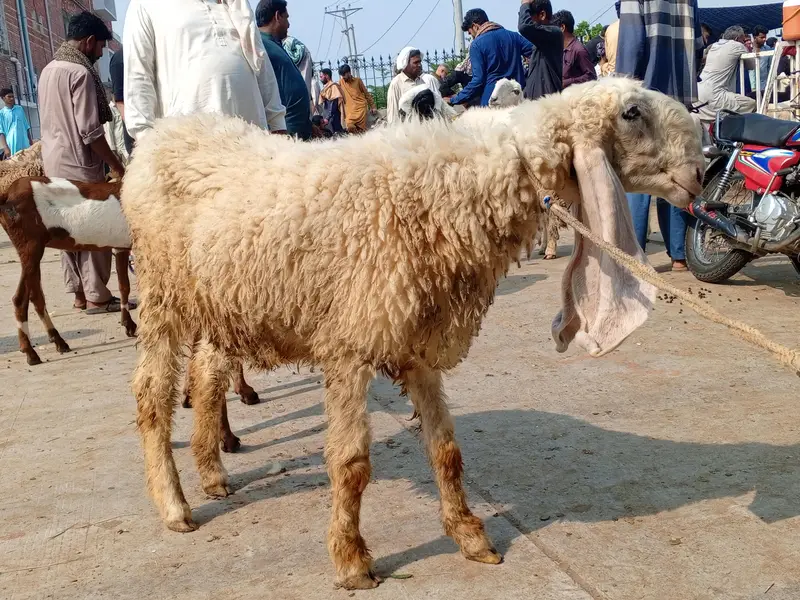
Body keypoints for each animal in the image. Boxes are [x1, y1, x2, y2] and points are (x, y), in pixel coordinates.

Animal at [122, 78, 704, 590]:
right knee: (152, 395)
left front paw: (469, 535)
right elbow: (351, 463)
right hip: (160, 292)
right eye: (632, 113)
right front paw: (351, 560)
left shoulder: (419, 342)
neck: (446, 189)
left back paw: (212, 471)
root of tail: (164, 132)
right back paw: (174, 503)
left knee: (206, 378)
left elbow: (446, 450)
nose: (702, 171)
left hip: (224, 302)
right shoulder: (351, 344)